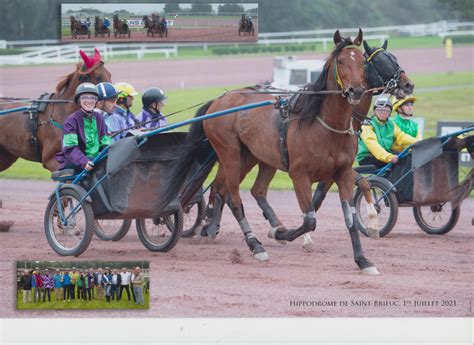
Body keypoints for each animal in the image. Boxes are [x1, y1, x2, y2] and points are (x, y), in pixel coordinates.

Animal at [163, 28, 382, 272]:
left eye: (362, 61)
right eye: (341, 60)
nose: (356, 90)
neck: (324, 125)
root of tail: (219, 100)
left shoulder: (342, 173)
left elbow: (350, 219)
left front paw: (363, 260)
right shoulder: (299, 174)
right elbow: (309, 220)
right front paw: (281, 232)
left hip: (252, 156)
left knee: (232, 190)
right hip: (229, 153)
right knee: (234, 198)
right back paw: (255, 246)